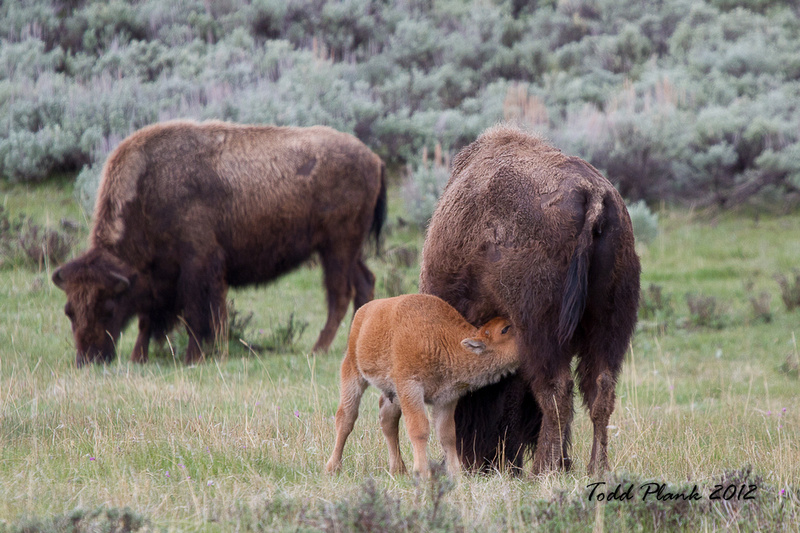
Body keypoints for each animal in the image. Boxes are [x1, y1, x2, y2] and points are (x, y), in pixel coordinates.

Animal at [53, 120, 388, 368]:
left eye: (108, 308)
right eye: (69, 311)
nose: (87, 359)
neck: (149, 192)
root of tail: (374, 158)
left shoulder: (198, 265)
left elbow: (197, 313)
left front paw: (193, 357)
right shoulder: (160, 277)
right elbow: (148, 320)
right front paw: (139, 358)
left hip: (337, 247)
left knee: (340, 294)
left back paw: (318, 349)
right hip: (348, 249)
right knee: (365, 283)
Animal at [324, 294, 520, 476]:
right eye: (505, 329)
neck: (441, 338)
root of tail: (363, 311)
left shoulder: (446, 399)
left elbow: (447, 434)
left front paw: (456, 473)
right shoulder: (411, 388)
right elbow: (419, 429)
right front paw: (422, 472)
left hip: (392, 392)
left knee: (388, 419)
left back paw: (398, 469)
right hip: (353, 372)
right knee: (346, 417)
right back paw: (333, 467)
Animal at [418, 124, 636, 474]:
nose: (481, 463)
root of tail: (592, 194)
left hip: (541, 328)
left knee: (557, 390)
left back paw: (542, 471)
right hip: (610, 321)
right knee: (601, 390)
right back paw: (594, 468)